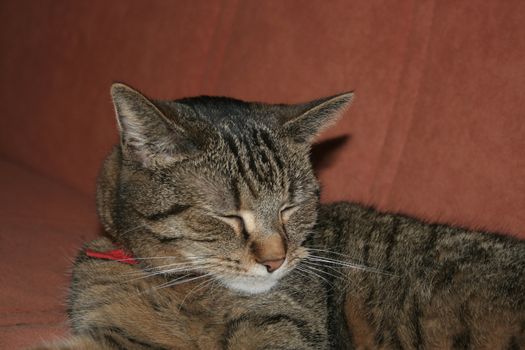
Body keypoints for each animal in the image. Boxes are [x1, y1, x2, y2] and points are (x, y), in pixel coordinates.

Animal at [34, 83, 520, 348]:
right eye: (228, 215)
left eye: (291, 206)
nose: (275, 260)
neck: (174, 286)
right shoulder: (117, 335)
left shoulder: (285, 331)